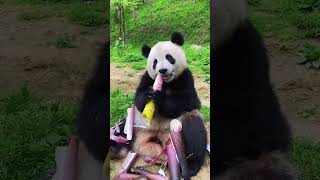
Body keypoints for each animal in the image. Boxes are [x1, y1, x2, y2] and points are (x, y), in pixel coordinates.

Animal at [110, 32, 209, 177]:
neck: (167, 83)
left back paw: (190, 167)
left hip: (177, 132)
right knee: (122, 129)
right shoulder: (147, 78)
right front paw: (148, 95)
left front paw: (160, 98)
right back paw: (114, 147)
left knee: (195, 132)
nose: (162, 70)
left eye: (169, 57)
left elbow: (189, 100)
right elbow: (138, 99)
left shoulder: (186, 77)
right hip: (135, 124)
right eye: (155, 62)